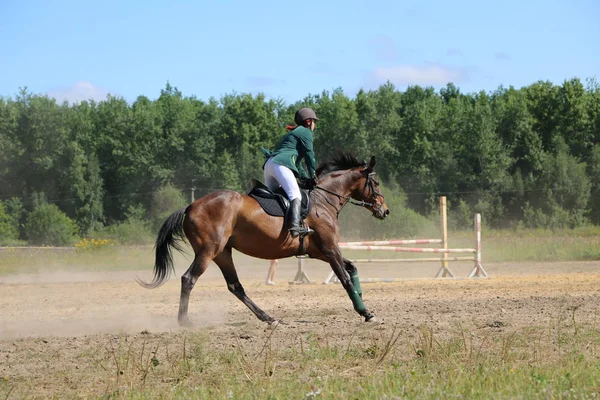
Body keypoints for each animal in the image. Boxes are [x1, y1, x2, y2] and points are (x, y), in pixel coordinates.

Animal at [137, 152, 392, 326]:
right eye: (376, 183)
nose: (385, 211)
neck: (323, 200)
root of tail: (190, 206)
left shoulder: (320, 251)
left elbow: (352, 269)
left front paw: (362, 302)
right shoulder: (330, 249)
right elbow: (345, 279)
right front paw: (366, 313)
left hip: (223, 253)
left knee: (235, 286)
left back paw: (268, 318)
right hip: (208, 251)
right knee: (189, 279)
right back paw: (184, 322)